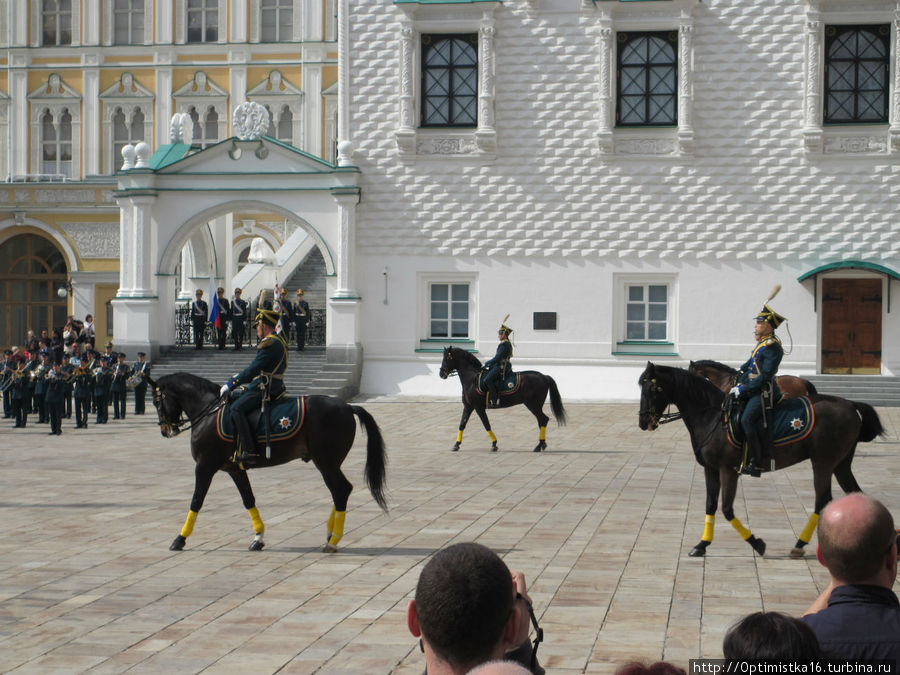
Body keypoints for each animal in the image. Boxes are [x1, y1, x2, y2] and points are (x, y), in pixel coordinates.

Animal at [147, 372, 386, 552]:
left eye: (157, 401)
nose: (164, 430)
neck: (208, 412)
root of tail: (347, 406)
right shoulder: (234, 469)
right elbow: (248, 499)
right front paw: (258, 537)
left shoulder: (204, 466)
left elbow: (196, 501)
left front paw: (180, 538)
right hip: (330, 464)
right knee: (343, 490)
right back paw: (330, 533)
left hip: (326, 463)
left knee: (340, 490)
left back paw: (333, 539)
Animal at [440, 346, 568, 452]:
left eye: (447, 359)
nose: (441, 374)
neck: (472, 380)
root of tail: (544, 376)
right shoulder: (468, 406)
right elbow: (462, 424)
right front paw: (456, 445)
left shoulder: (478, 407)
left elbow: (486, 424)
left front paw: (494, 444)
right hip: (535, 406)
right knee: (541, 421)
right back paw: (542, 444)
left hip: (533, 405)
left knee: (543, 419)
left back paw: (539, 445)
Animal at [636, 364, 884, 560]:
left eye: (653, 389)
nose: (643, 422)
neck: (714, 417)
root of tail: (849, 404)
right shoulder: (710, 469)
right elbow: (710, 505)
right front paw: (701, 545)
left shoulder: (728, 470)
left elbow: (727, 509)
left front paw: (757, 543)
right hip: (841, 465)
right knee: (854, 493)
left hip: (823, 463)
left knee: (822, 500)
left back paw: (799, 545)